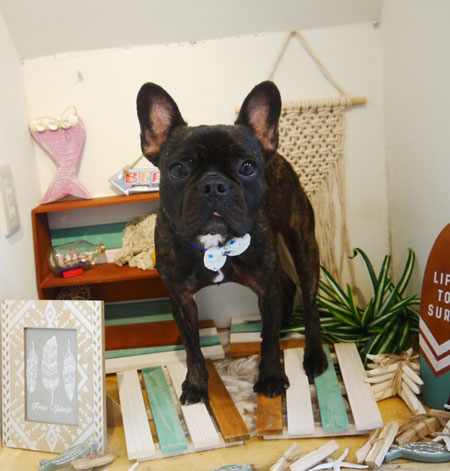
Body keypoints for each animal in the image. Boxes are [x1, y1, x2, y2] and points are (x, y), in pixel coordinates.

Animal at [136, 81, 327, 404]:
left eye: (248, 167)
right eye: (177, 169)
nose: (214, 185)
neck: (215, 245)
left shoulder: (265, 288)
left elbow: (270, 342)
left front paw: (271, 376)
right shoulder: (181, 300)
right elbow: (192, 347)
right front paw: (196, 384)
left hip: (302, 243)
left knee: (309, 301)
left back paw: (313, 355)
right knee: (285, 288)